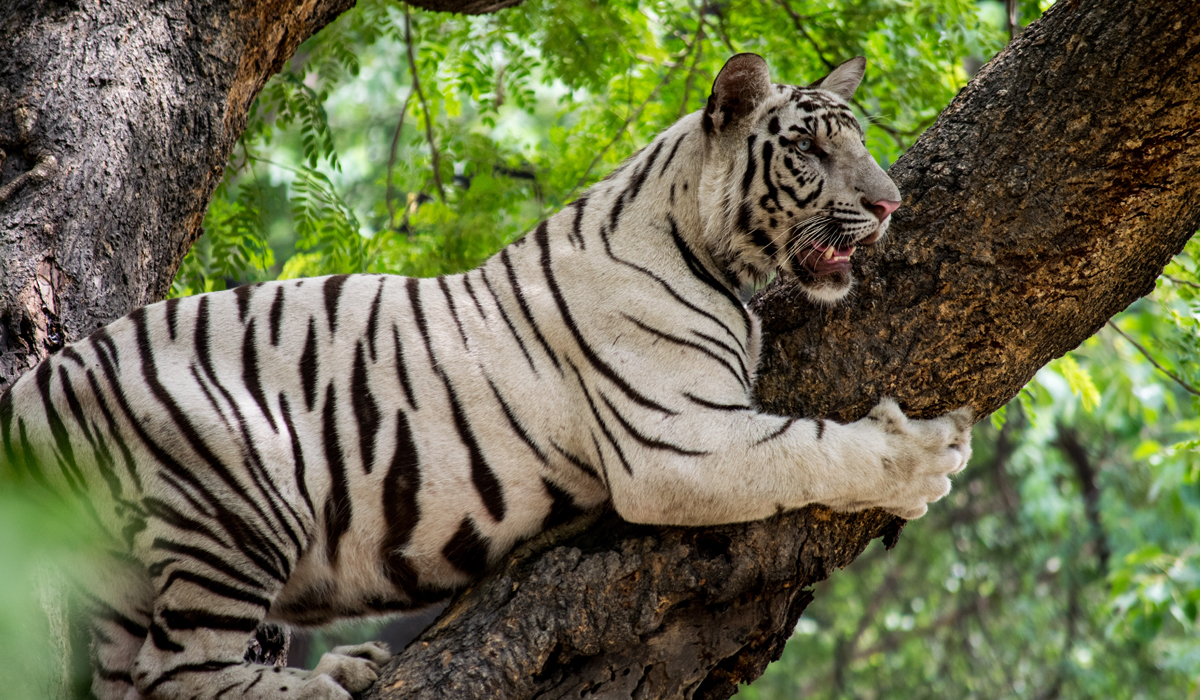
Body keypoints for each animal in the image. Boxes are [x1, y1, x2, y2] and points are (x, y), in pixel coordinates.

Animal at [0, 56, 974, 700]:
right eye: (811, 150)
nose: (890, 204)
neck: (714, 251)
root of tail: (35, 384)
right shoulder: (676, 440)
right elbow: (811, 449)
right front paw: (927, 458)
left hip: (120, 575)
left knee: (128, 680)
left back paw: (351, 665)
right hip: (239, 488)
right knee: (177, 671)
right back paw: (320, 685)